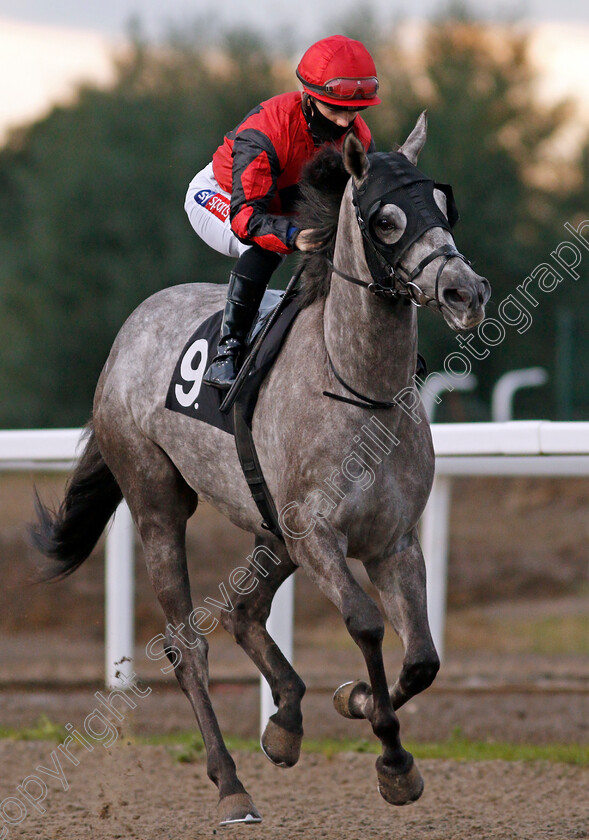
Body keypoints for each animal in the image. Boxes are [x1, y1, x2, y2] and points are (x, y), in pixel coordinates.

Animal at [33, 113, 492, 828]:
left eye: (445, 208)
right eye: (387, 220)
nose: (464, 292)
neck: (359, 387)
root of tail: (131, 328)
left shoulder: (392, 541)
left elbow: (422, 659)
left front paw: (351, 700)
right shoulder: (319, 536)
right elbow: (366, 624)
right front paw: (393, 762)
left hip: (270, 528)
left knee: (244, 613)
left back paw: (286, 723)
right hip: (158, 501)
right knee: (188, 644)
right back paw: (231, 784)